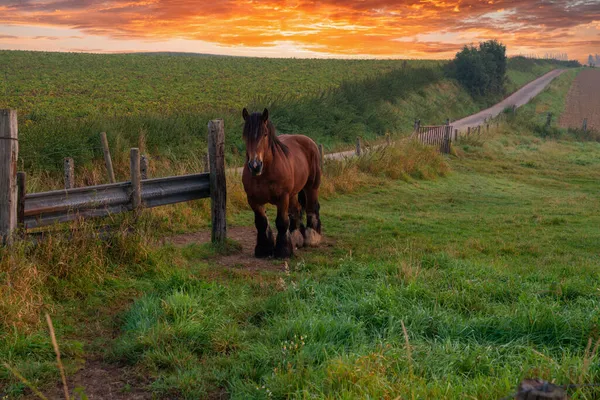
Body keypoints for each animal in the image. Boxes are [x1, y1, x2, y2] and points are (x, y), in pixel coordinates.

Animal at [241, 108, 322, 260]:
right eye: (245, 135)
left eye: (265, 134)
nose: (255, 166)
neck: (265, 172)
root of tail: (308, 141)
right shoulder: (253, 200)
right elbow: (261, 223)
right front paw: (264, 249)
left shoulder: (282, 198)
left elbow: (282, 222)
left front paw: (283, 251)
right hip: (293, 194)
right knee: (296, 210)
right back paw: (296, 237)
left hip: (311, 187)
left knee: (311, 207)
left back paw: (312, 237)